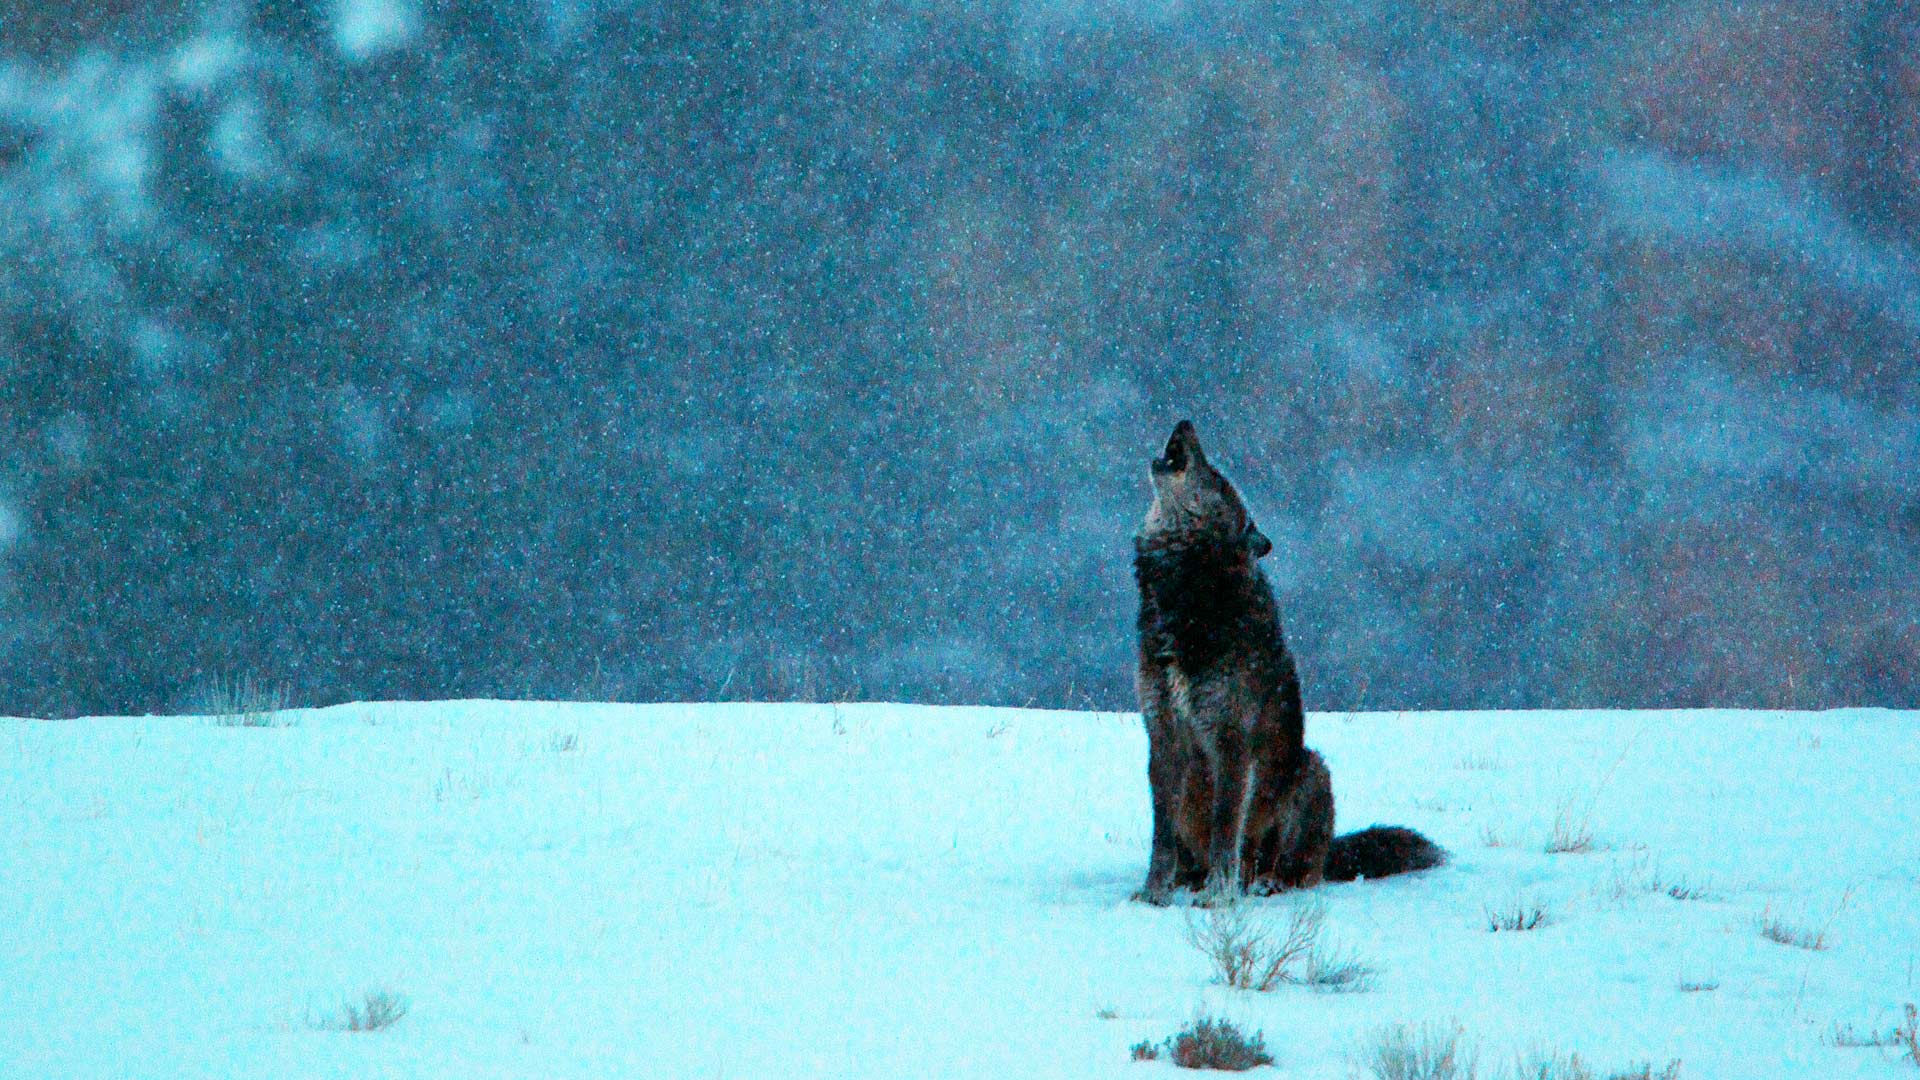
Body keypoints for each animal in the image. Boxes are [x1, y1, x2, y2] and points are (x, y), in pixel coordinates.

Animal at [1132, 421, 1444, 904]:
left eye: (1216, 476)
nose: (1185, 423)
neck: (1188, 594)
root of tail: (1334, 852)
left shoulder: (1230, 740)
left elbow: (1225, 830)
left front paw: (1218, 898)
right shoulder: (1163, 735)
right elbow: (1161, 838)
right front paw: (1153, 897)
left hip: (1312, 769)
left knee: (1295, 869)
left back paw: (1263, 883)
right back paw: (1195, 881)